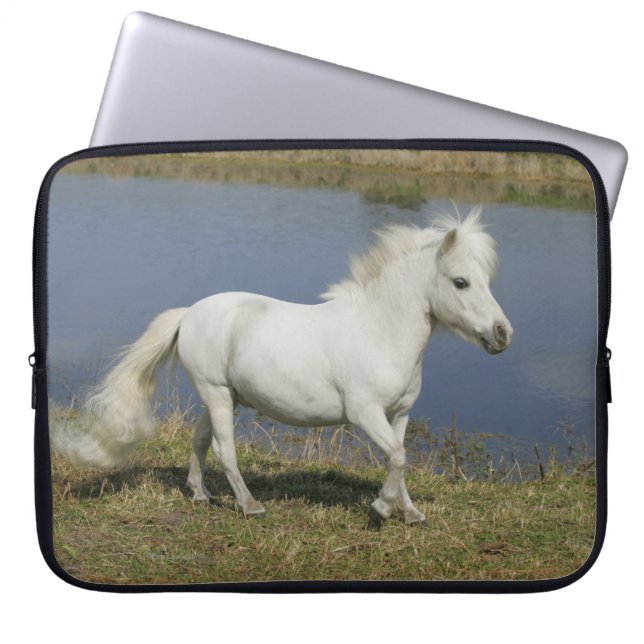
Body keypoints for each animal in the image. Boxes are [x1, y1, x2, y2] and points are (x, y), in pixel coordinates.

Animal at [53, 206, 512, 525]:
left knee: (200, 440)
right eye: (460, 282)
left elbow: (397, 460)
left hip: (222, 395)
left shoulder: (399, 414)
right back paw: (250, 506)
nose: (503, 333)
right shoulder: (365, 413)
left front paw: (410, 513)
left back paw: (201, 495)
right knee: (223, 448)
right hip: (216, 394)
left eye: (486, 281)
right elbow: (397, 458)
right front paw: (381, 510)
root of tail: (189, 314)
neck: (379, 329)